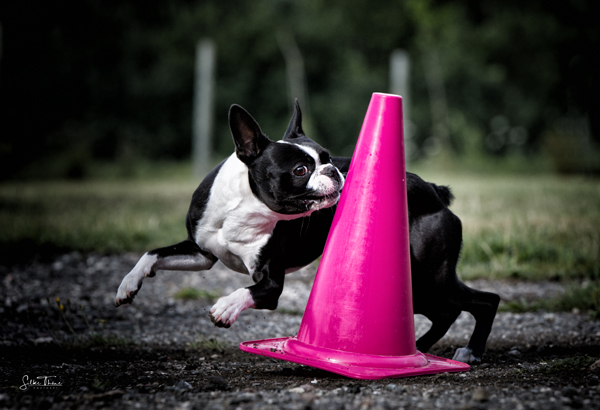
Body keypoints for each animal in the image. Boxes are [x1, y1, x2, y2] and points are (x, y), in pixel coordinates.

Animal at [115, 99, 500, 362]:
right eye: (300, 170)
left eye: (327, 157)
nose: (334, 170)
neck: (246, 205)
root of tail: (435, 192)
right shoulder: (202, 252)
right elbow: (153, 254)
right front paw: (128, 285)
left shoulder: (270, 285)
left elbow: (246, 291)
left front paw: (225, 307)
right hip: (419, 287)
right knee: (449, 310)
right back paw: (419, 349)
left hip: (426, 277)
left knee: (483, 301)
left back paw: (469, 351)